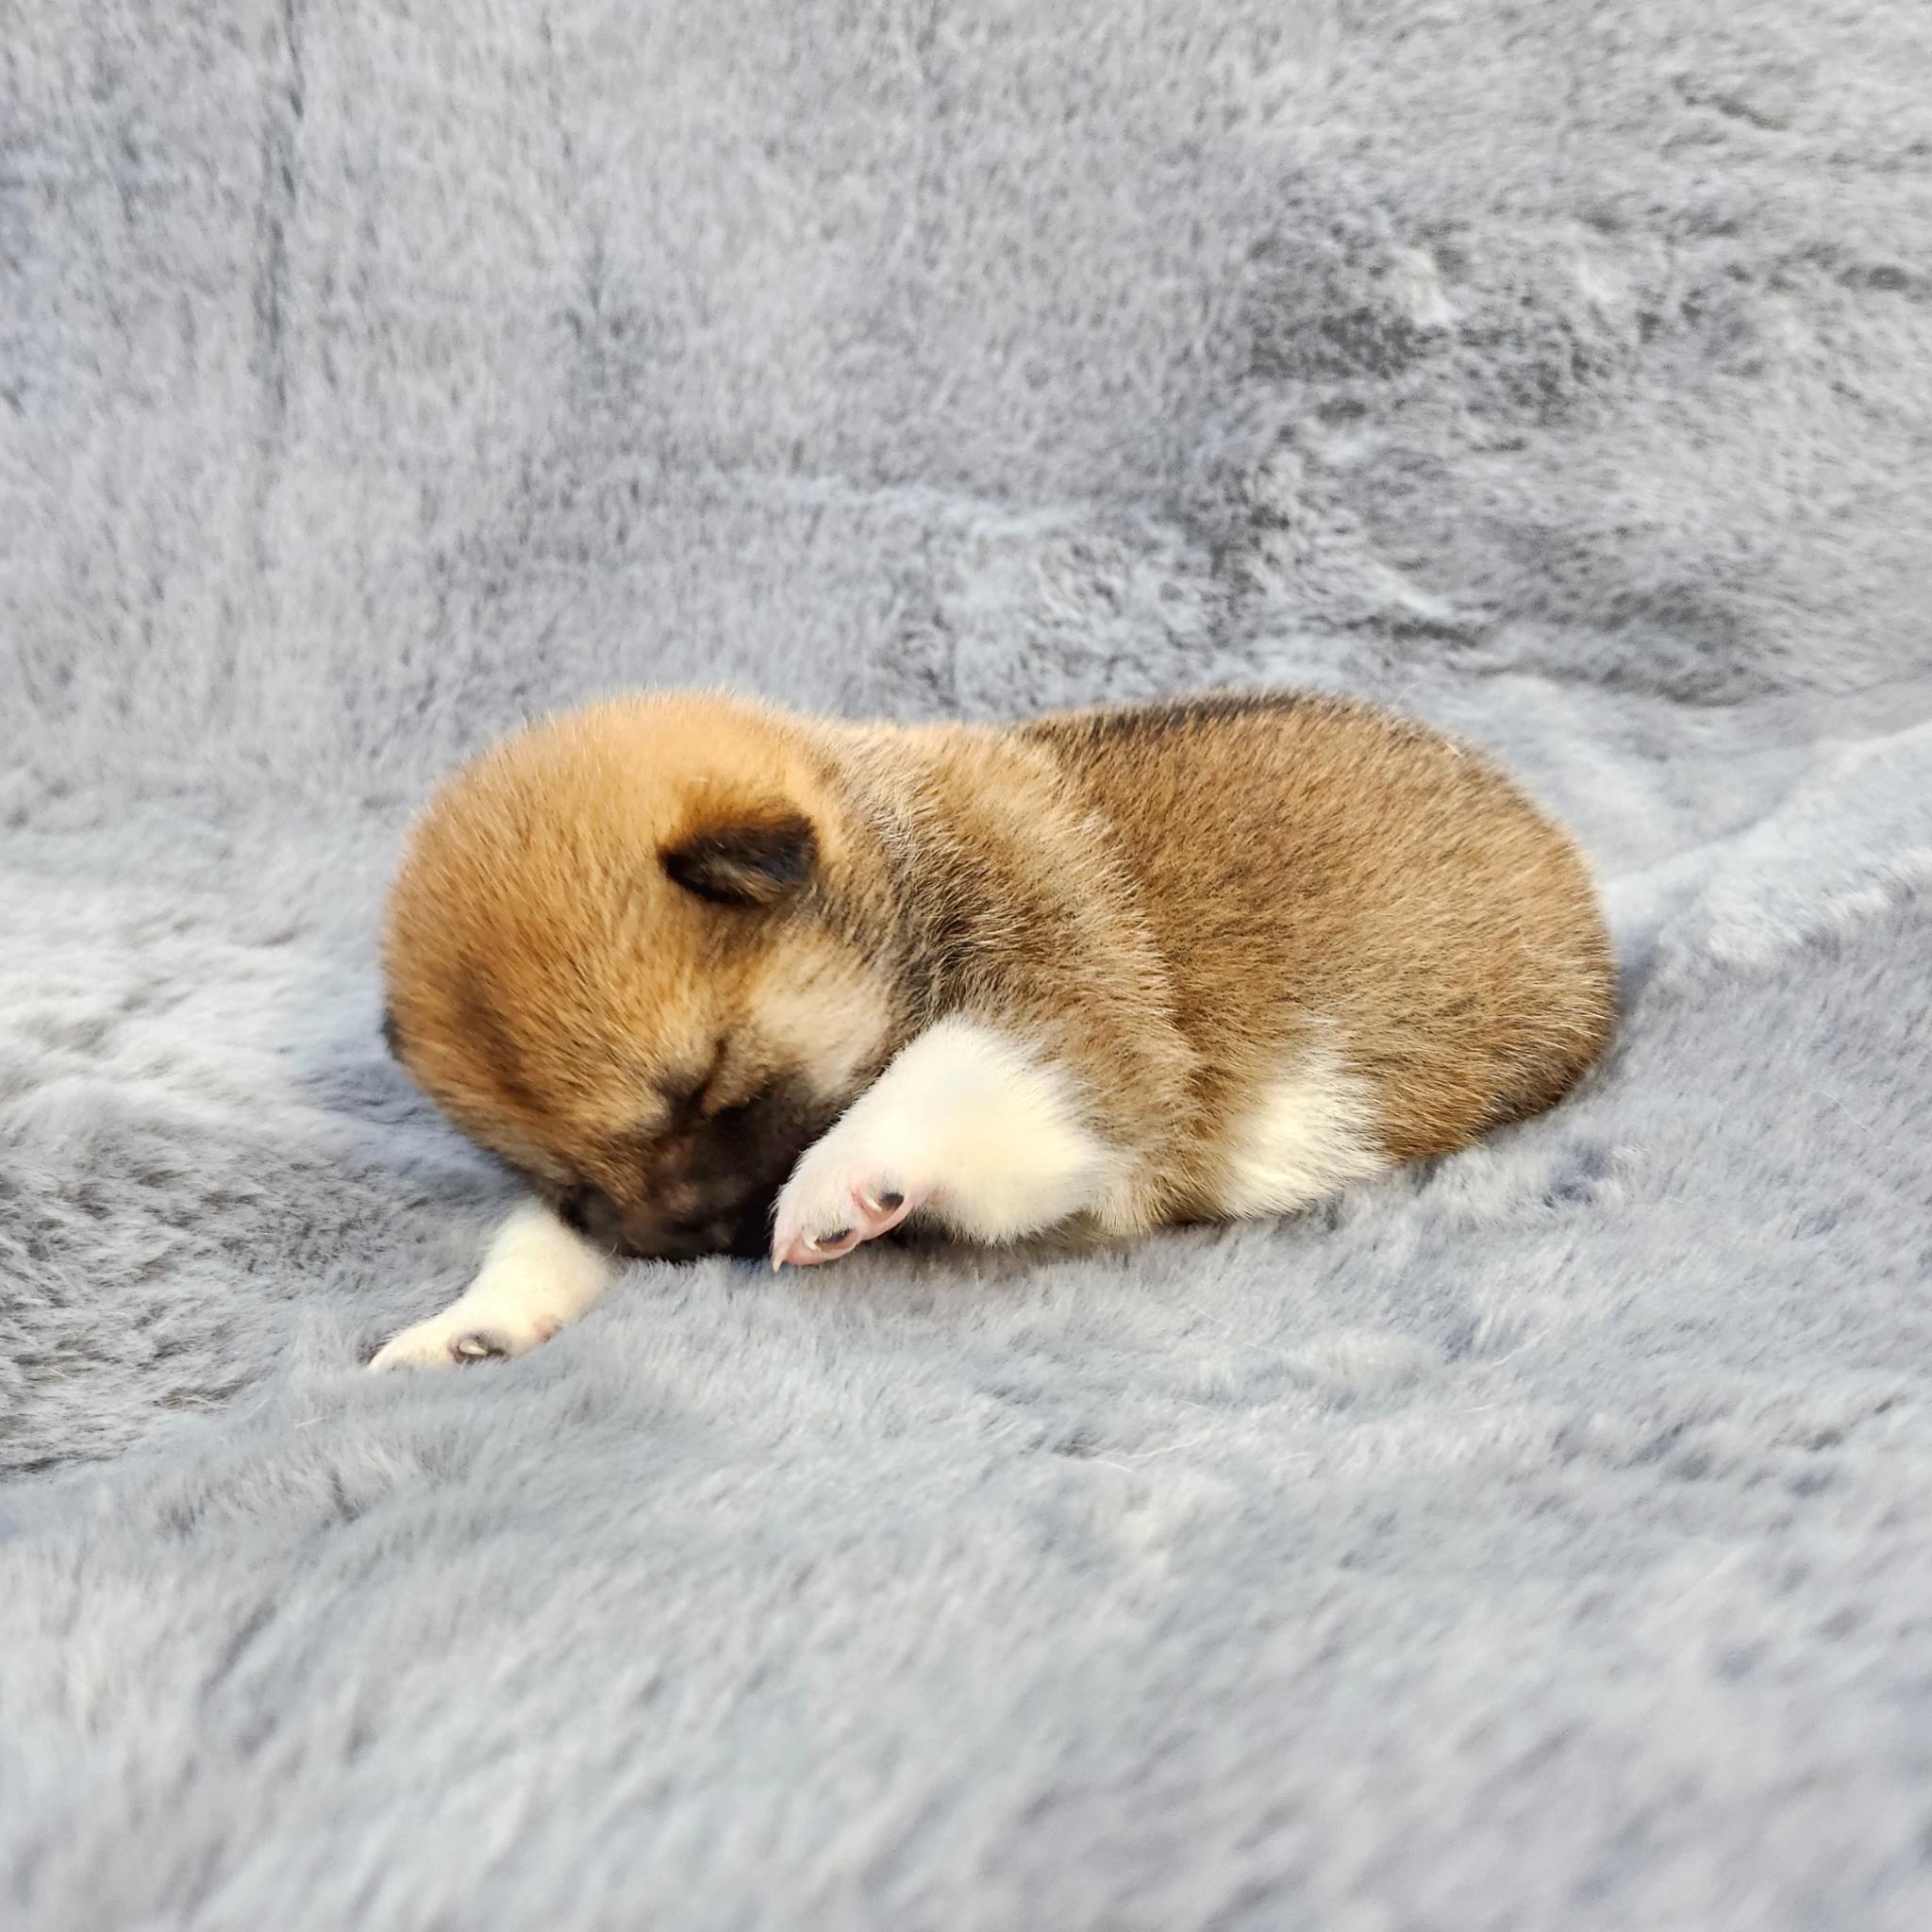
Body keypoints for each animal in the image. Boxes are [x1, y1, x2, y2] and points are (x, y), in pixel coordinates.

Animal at [370, 688, 1614, 1369]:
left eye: (707, 1083)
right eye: (569, 1174)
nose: (683, 1244)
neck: (899, 866)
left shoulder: (1078, 1010)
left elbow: (952, 1069)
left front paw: (839, 1184)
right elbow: (538, 1237)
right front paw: (473, 1320)